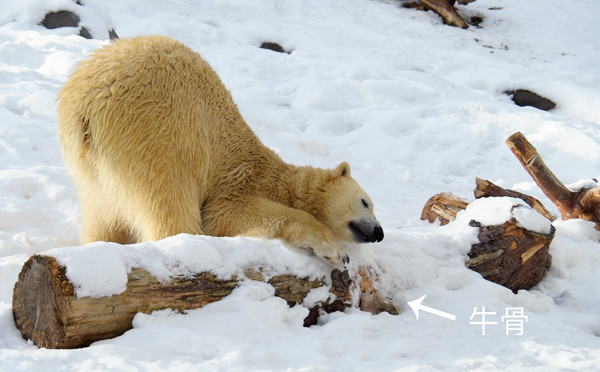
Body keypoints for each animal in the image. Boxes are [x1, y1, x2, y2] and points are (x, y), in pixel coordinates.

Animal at [57, 35, 384, 268]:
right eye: (365, 202)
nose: (379, 232)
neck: (282, 179)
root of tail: (87, 100)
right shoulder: (243, 180)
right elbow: (228, 213)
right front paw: (334, 251)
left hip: (91, 162)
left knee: (101, 212)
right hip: (163, 129)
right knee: (170, 198)